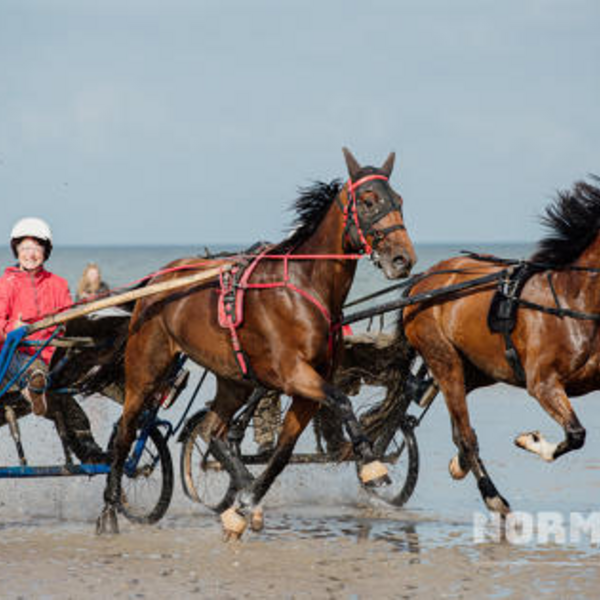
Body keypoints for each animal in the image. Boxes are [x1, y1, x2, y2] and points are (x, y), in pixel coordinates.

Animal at [97, 149, 418, 536]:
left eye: (399, 200)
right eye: (369, 201)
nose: (403, 259)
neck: (304, 287)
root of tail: (158, 281)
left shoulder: (308, 387)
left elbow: (282, 454)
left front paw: (244, 506)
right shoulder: (293, 374)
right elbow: (341, 401)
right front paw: (373, 466)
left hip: (233, 379)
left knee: (214, 431)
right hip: (146, 369)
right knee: (125, 432)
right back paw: (109, 511)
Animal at [404, 175, 600, 516]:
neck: (574, 301)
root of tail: (422, 281)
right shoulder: (543, 382)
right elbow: (576, 435)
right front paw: (531, 441)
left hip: (479, 368)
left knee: (459, 428)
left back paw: (458, 463)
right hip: (444, 359)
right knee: (465, 435)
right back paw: (493, 497)